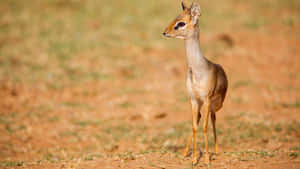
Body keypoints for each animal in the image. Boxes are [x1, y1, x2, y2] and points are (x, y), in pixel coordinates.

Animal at [164, 1, 227, 164]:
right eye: (176, 17)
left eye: (181, 23)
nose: (165, 32)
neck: (199, 70)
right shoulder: (193, 99)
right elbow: (194, 126)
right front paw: (193, 158)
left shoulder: (207, 99)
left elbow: (204, 127)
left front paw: (206, 160)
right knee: (199, 118)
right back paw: (186, 152)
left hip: (214, 105)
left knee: (212, 118)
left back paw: (215, 151)